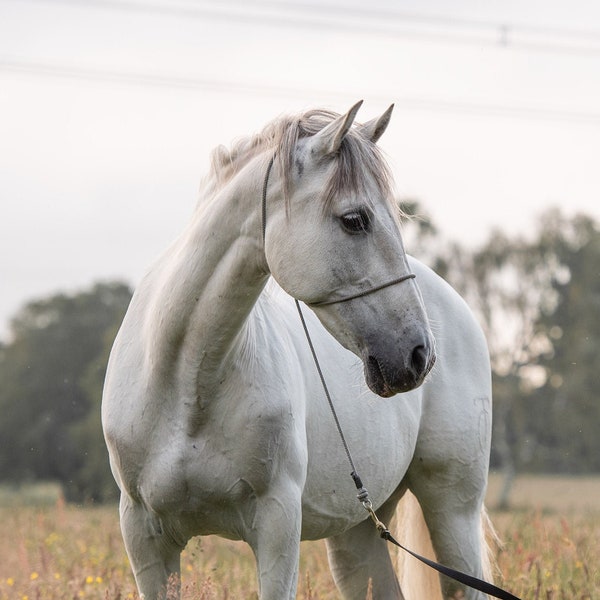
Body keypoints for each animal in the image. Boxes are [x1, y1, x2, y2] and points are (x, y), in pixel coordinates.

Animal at [103, 103, 494, 600]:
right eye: (354, 219)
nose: (418, 355)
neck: (187, 383)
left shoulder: (277, 525)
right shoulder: (144, 536)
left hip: (452, 507)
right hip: (358, 533)